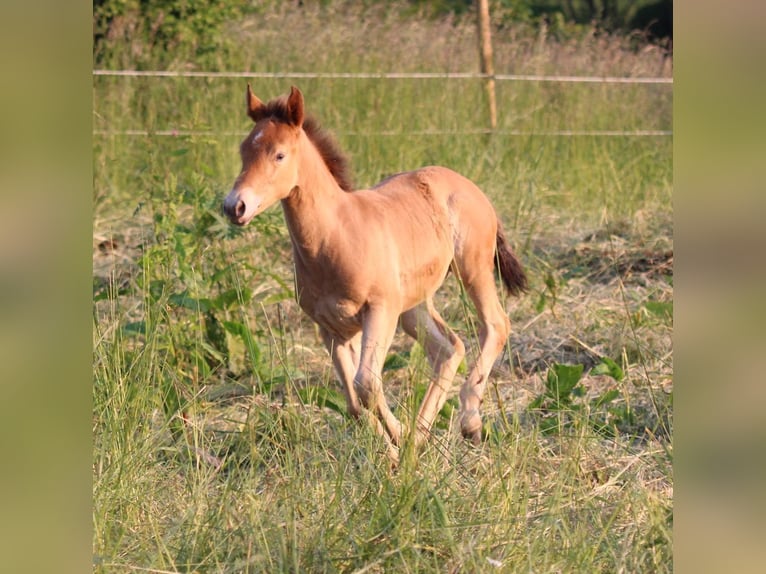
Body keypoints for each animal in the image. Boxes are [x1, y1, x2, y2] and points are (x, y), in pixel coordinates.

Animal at [222, 86, 528, 464]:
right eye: (243, 150)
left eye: (279, 154)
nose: (234, 206)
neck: (335, 236)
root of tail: (472, 188)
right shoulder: (330, 329)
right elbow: (355, 403)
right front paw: (394, 451)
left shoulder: (379, 310)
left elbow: (366, 384)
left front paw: (396, 437)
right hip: (414, 303)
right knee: (448, 349)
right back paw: (418, 439)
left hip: (471, 268)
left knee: (496, 325)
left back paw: (469, 423)